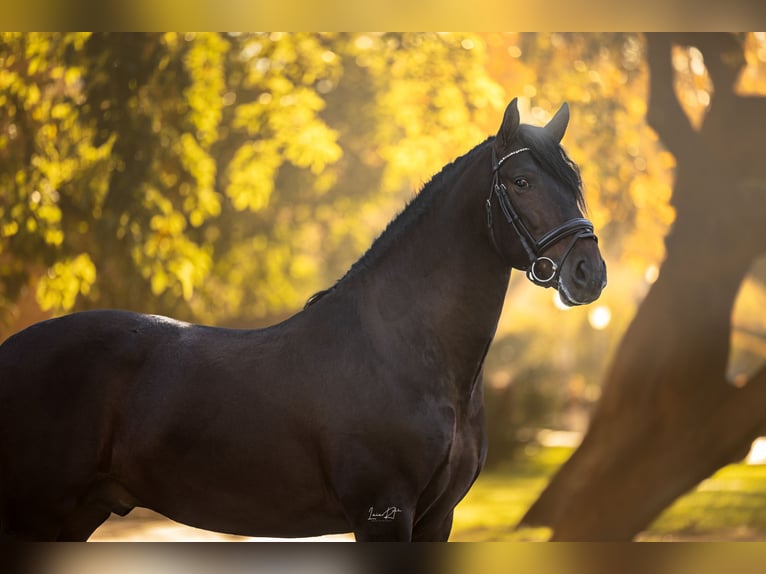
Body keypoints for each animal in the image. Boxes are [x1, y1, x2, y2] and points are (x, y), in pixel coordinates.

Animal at [1, 97, 608, 544]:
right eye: (523, 182)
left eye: (575, 182)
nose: (590, 273)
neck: (406, 353)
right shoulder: (383, 515)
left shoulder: (437, 521)